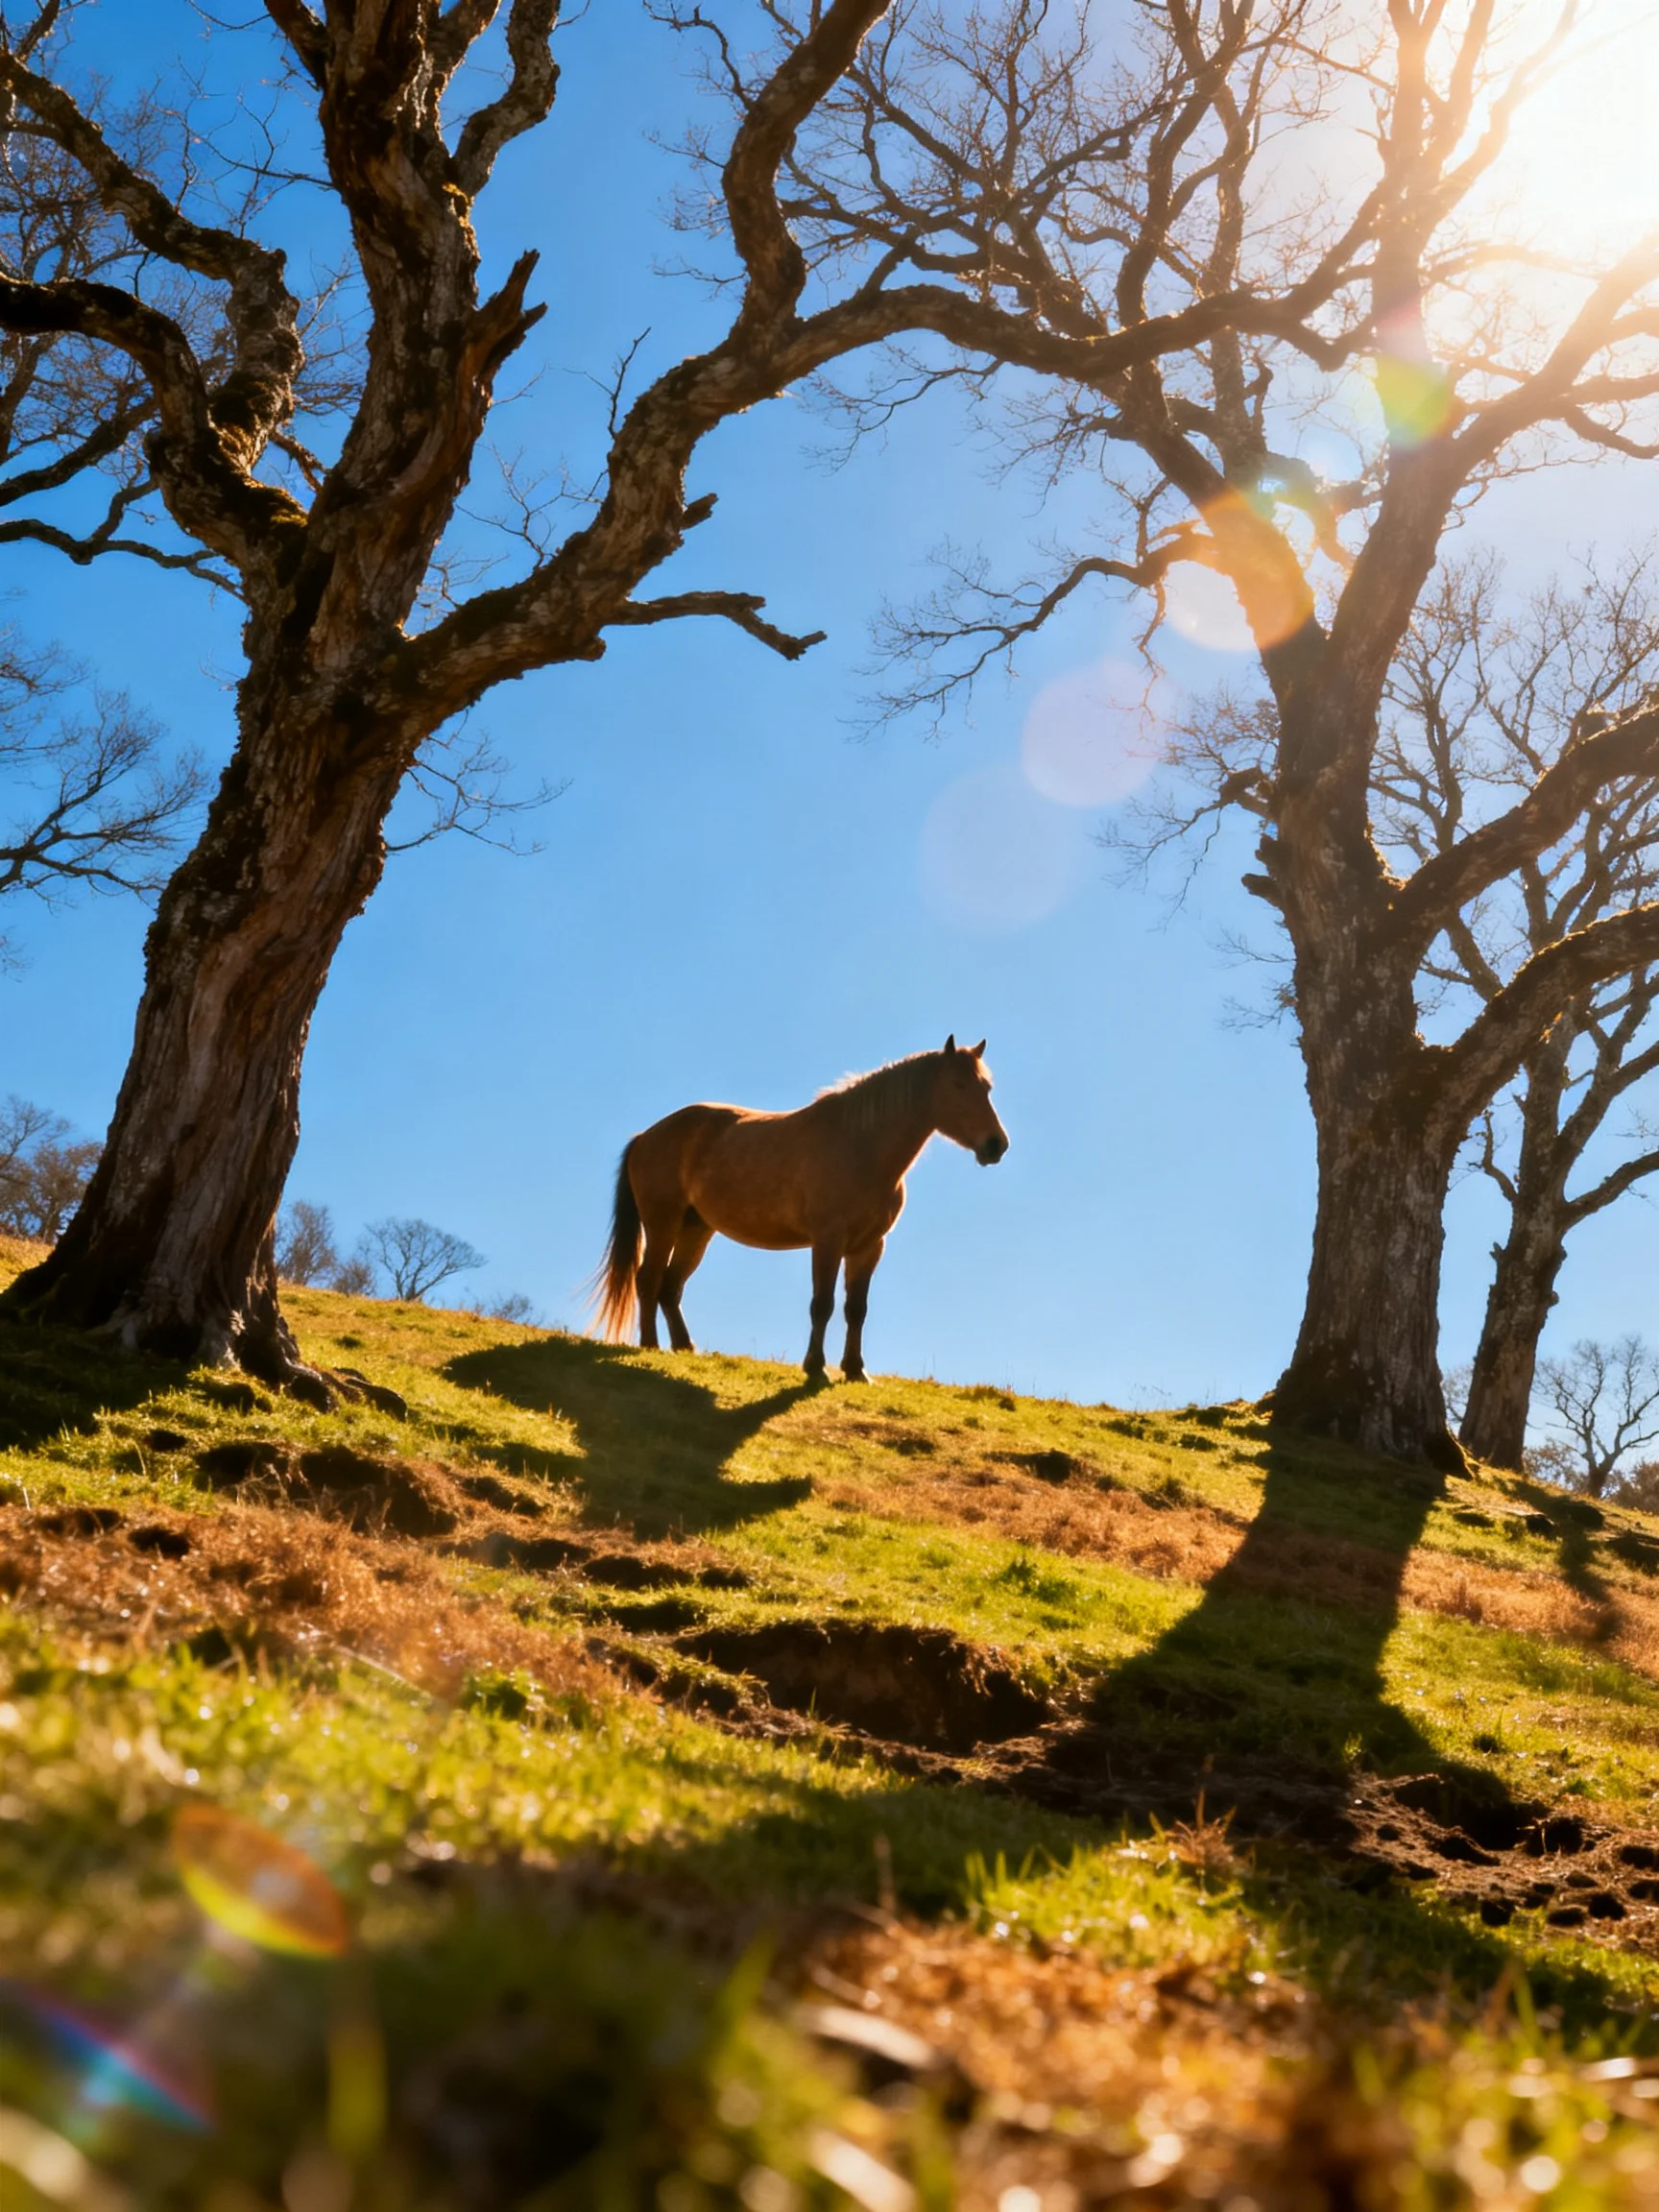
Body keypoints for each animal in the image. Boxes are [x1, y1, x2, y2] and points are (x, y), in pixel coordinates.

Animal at [593, 1036, 1009, 1381]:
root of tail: (645, 1136)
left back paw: (685, 1348)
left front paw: (855, 1370)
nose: (996, 1145)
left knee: (671, 1285)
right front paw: (816, 1368)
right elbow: (822, 1304)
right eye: (958, 1085)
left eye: (987, 1087)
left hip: (697, 1230)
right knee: (648, 1279)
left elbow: (856, 1308)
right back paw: (650, 1346)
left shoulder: (868, 1246)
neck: (861, 1147)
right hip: (662, 1223)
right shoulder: (827, 1241)